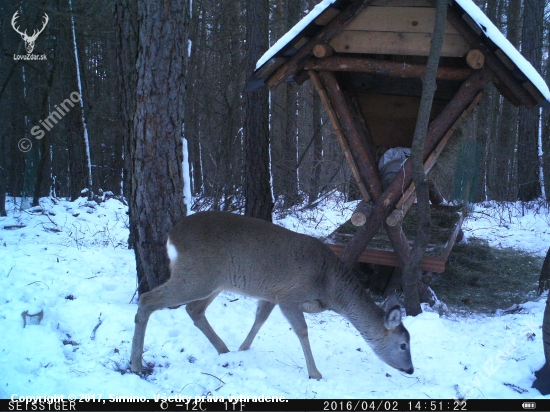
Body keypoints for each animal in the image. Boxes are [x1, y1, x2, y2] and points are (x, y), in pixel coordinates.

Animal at [130, 212, 414, 380]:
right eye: (403, 344)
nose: (410, 369)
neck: (330, 288)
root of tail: (171, 235)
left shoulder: (271, 294)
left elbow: (260, 319)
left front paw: (243, 349)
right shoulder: (289, 295)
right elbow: (302, 330)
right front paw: (315, 373)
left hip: (215, 281)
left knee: (194, 310)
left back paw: (224, 350)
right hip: (197, 276)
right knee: (148, 300)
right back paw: (136, 364)